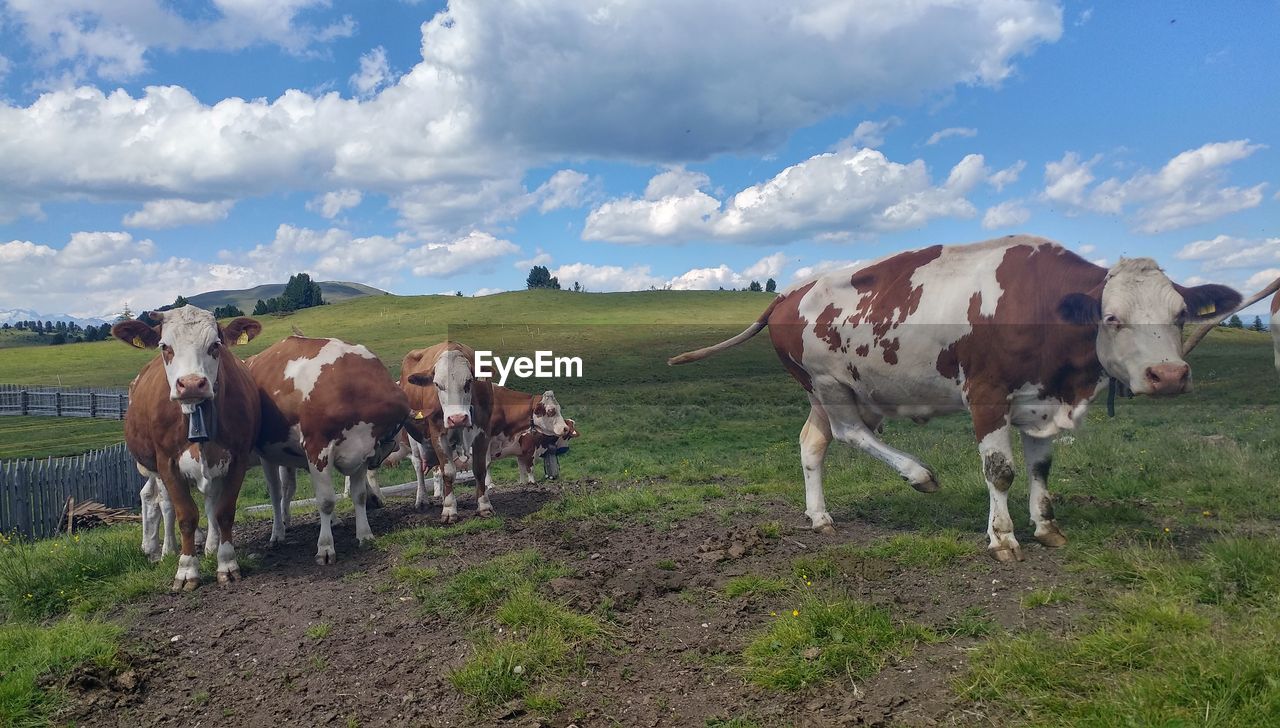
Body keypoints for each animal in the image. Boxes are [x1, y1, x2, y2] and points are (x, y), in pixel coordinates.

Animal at [115, 303, 262, 588]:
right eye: (165, 346)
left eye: (216, 345)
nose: (192, 384)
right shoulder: (167, 462)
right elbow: (185, 515)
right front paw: (186, 569)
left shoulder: (237, 458)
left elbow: (223, 511)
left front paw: (225, 562)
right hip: (151, 465)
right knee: (158, 500)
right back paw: (160, 550)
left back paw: (203, 546)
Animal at [248, 335, 409, 562]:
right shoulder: (318, 449)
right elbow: (325, 501)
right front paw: (325, 546)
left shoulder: (363, 451)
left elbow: (359, 495)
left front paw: (365, 534)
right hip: (268, 455)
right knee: (276, 493)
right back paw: (278, 533)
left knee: (288, 488)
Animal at [401, 342, 491, 522]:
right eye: (437, 384)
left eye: (469, 382)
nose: (457, 418)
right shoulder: (438, 435)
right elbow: (448, 473)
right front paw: (449, 510)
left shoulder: (482, 433)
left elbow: (479, 470)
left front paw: (484, 505)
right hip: (413, 437)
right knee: (418, 465)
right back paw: (422, 499)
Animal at [670, 235, 1239, 560]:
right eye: (1113, 317)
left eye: (1180, 315)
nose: (1169, 375)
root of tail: (788, 294)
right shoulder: (987, 395)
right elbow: (1000, 471)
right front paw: (1003, 538)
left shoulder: (1038, 401)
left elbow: (1040, 469)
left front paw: (1046, 527)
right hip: (827, 384)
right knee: (851, 433)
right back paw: (918, 474)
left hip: (830, 391)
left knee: (814, 443)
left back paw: (820, 516)